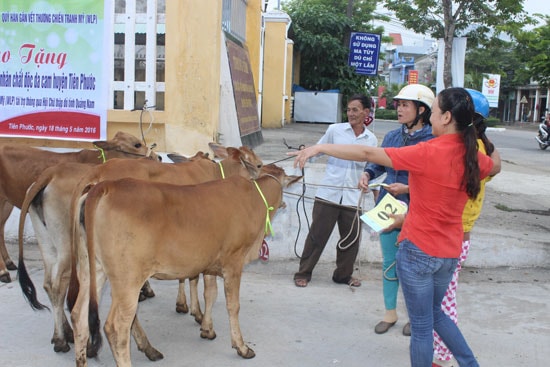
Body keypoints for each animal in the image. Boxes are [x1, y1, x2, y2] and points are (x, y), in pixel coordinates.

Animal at [16, 144, 262, 356]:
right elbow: (203, 285)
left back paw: (63, 338)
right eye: (258, 164)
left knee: (54, 287)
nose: (259, 173)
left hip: (55, 246)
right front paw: (200, 318)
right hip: (95, 259)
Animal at [70, 166, 300, 367]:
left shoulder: (209, 263)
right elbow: (233, 306)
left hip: (92, 269)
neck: (254, 198)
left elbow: (210, 293)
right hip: (128, 279)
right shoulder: (234, 262)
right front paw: (242, 347)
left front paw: (207, 329)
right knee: (116, 328)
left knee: (79, 316)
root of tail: (105, 186)